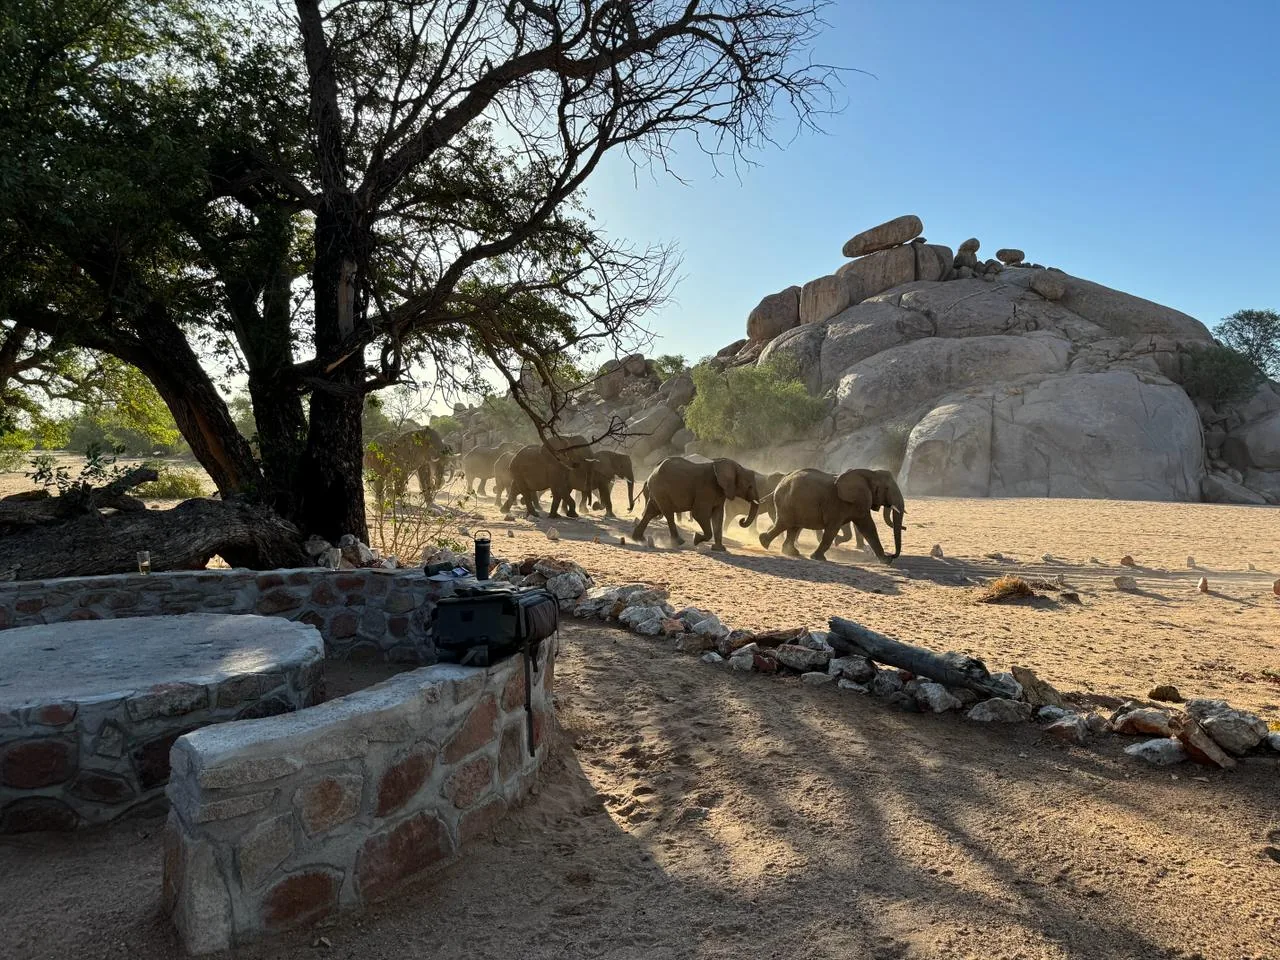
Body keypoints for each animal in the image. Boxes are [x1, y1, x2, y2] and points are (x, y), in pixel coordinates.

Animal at [760, 468, 905, 563]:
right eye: (887, 489)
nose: (893, 555)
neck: (869, 473)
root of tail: (782, 480)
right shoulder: (838, 504)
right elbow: (832, 529)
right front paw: (819, 558)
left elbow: (868, 528)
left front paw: (886, 561)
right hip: (787, 501)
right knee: (785, 523)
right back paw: (764, 542)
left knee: (793, 526)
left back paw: (790, 552)